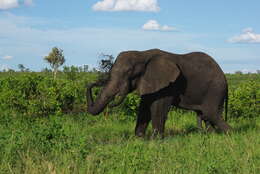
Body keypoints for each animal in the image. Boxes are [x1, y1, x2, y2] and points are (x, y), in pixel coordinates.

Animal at [87, 48, 232, 137]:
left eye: (128, 73)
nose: (94, 82)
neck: (142, 54)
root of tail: (224, 75)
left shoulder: (167, 84)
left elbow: (158, 107)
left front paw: (155, 140)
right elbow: (144, 108)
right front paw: (139, 138)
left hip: (215, 89)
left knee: (210, 113)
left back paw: (230, 134)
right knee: (205, 116)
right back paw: (211, 136)